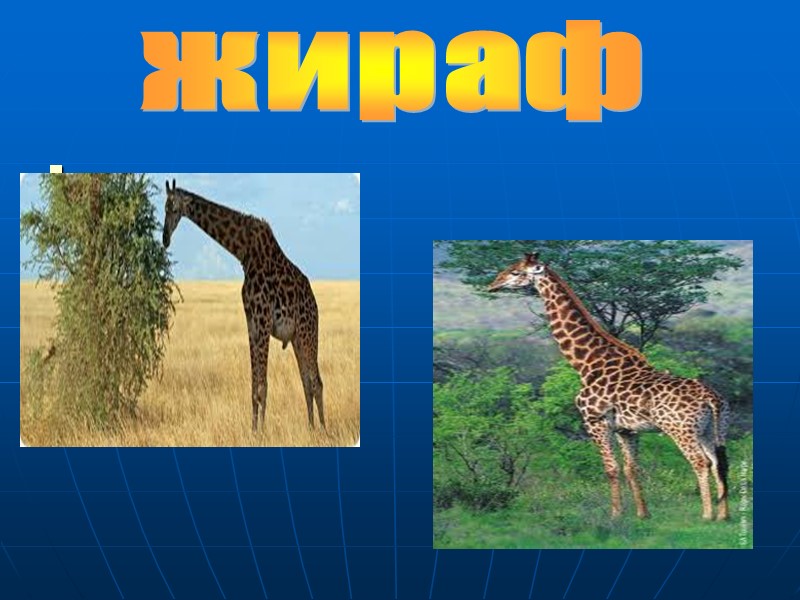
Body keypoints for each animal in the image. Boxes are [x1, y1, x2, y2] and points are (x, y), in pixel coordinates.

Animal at [162, 179, 324, 433]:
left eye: (175, 208)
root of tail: (315, 304)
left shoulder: (263, 320)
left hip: (308, 332)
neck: (243, 252)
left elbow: (262, 386)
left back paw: (323, 430)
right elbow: (254, 387)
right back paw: (310, 428)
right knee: (307, 381)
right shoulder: (251, 322)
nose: (165, 239)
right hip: (297, 337)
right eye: (164, 208)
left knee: (316, 382)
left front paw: (262, 432)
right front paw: (253, 430)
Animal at [488, 252, 730, 521]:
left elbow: (611, 468)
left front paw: (615, 514)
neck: (587, 364)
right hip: (713, 428)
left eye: (516, 272)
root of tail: (711, 398)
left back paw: (707, 515)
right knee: (719, 462)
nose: (492, 285)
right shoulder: (627, 429)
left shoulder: (594, 420)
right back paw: (724, 515)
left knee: (700, 462)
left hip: (680, 429)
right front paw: (642, 514)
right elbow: (631, 468)